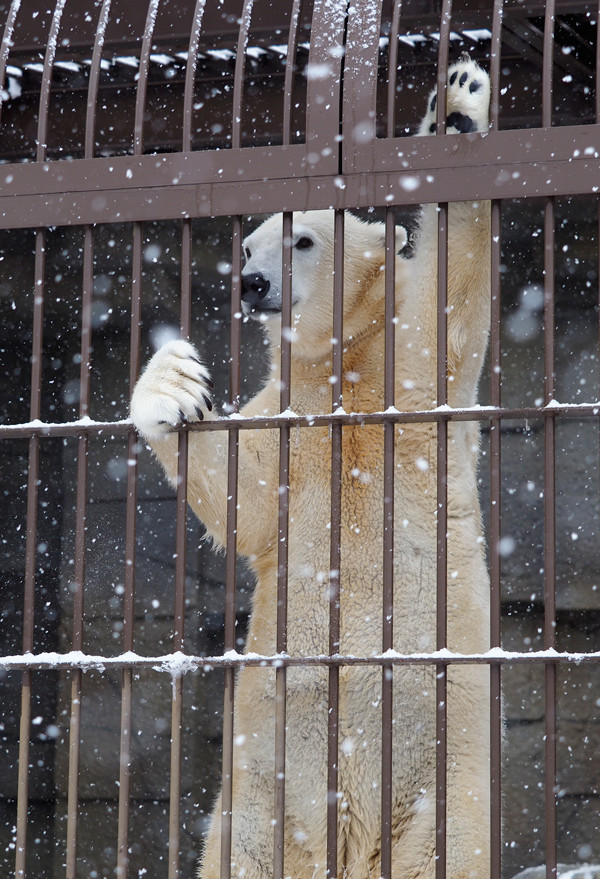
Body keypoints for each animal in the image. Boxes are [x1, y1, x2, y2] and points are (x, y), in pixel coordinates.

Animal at [131, 53, 492, 879]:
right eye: (250, 244)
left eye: (302, 241)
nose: (251, 283)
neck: (342, 366)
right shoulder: (287, 425)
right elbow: (239, 489)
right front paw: (173, 384)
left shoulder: (411, 379)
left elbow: (453, 287)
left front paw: (459, 104)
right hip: (259, 799)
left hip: (444, 787)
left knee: (446, 846)